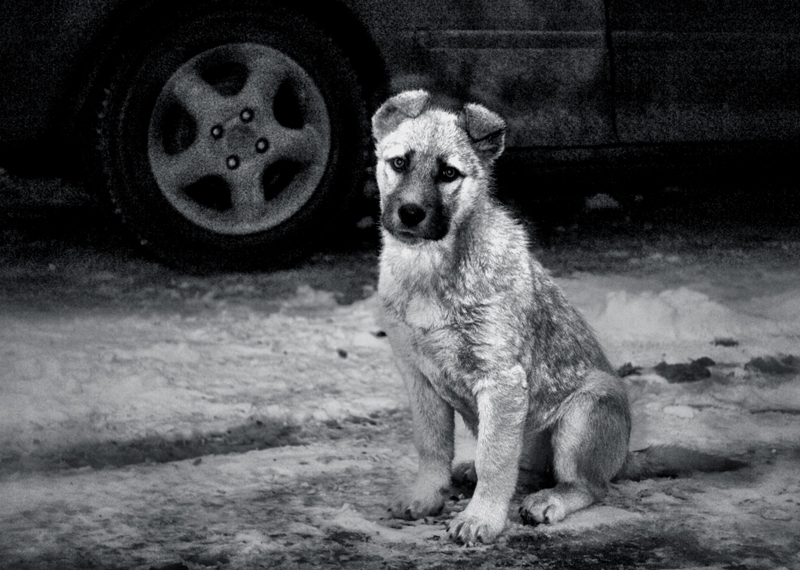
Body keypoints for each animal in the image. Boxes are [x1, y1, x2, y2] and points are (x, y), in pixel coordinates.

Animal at [372, 89, 748, 540]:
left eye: (448, 173)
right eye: (398, 163)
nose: (410, 213)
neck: (430, 267)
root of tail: (622, 458)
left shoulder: (501, 382)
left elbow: (494, 462)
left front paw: (480, 519)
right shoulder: (419, 378)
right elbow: (432, 446)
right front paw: (427, 497)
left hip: (583, 414)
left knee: (587, 485)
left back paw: (548, 500)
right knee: (529, 470)